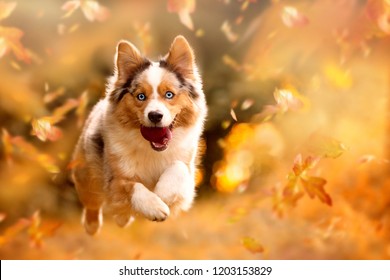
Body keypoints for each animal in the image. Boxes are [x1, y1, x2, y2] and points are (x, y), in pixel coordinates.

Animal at [72, 36, 209, 234]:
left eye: (169, 94)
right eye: (141, 96)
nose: (155, 115)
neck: (152, 149)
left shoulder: (188, 171)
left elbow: (178, 167)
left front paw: (162, 193)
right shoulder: (113, 179)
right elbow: (132, 185)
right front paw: (155, 206)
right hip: (86, 176)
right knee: (92, 202)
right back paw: (92, 226)